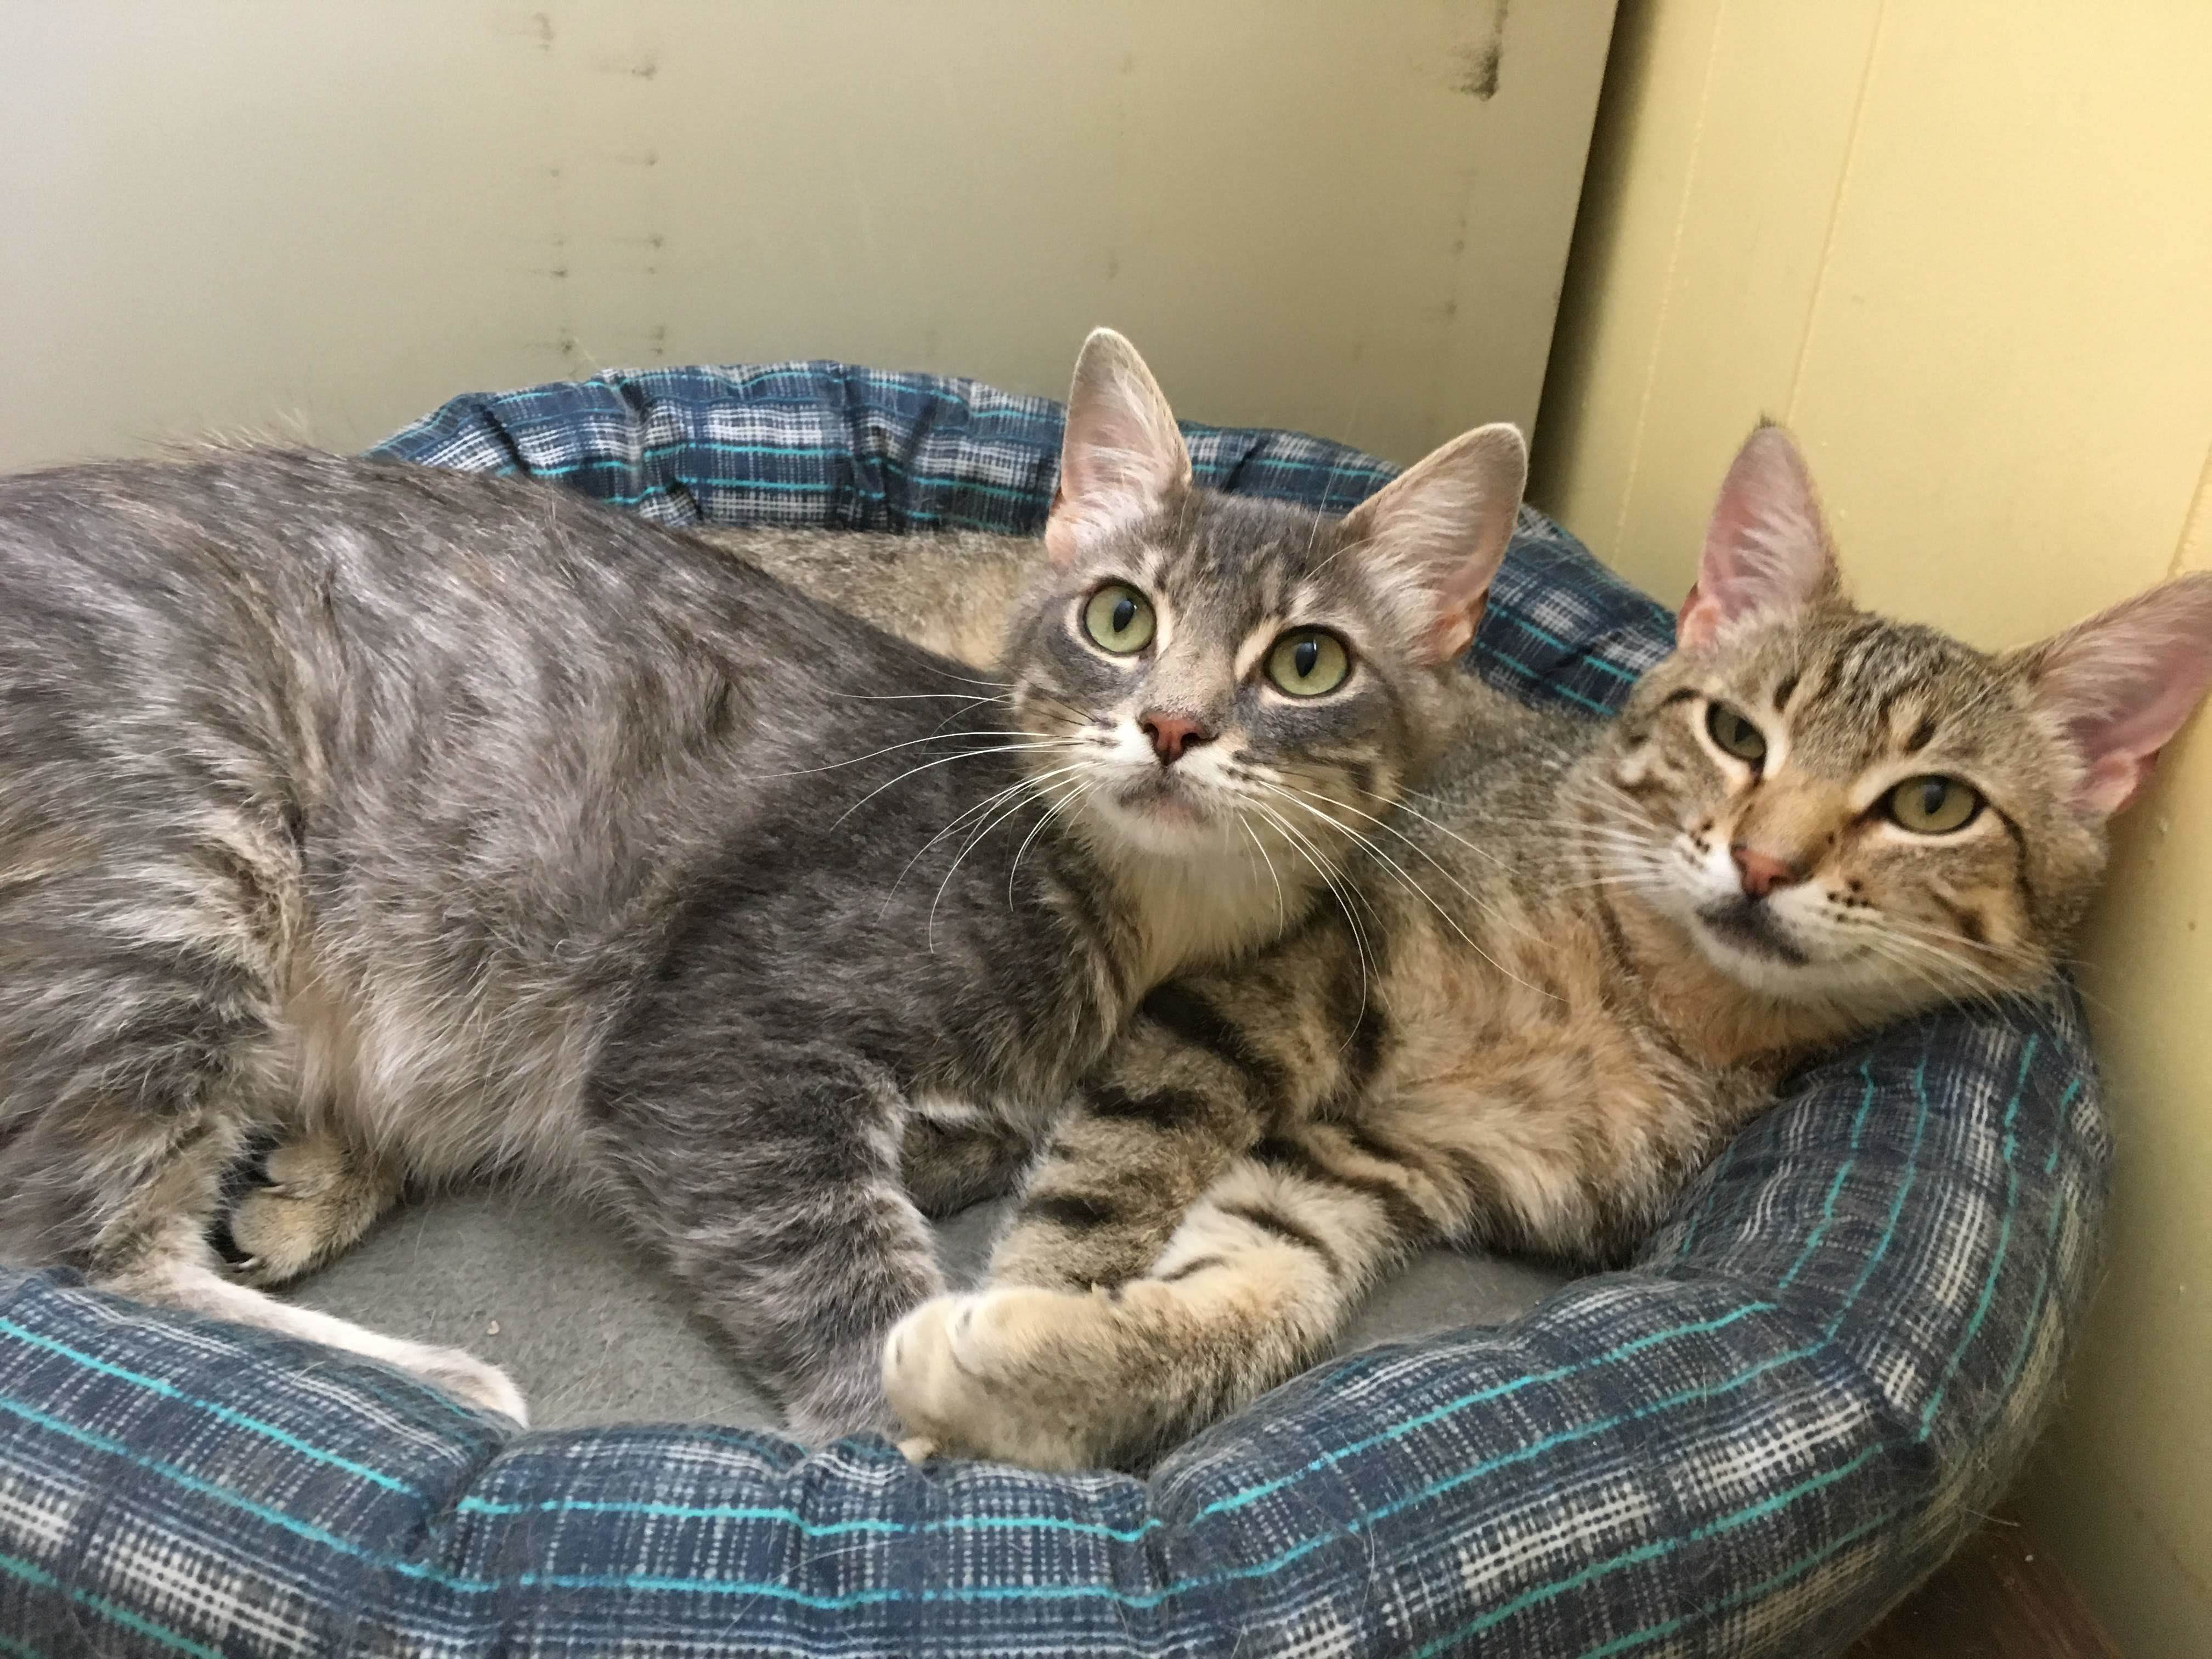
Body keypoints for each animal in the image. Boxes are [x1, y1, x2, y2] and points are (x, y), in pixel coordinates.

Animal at [0, 327, 1531, 1442]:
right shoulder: (725, 1032)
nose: (1171, 725)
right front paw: (928, 1404)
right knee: (88, 1255)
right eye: (1119, 618)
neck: (1154, 913)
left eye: (1309, 663)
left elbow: (965, 1146)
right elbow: (825, 1238)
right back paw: (432, 1377)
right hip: (179, 868)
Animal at [876, 425, 2212, 1469]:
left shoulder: (1375, 1162)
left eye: (1933, 805)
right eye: (1737, 733)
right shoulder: (1260, 990)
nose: (1765, 861)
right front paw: (1007, 1330)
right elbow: (1118, 1168)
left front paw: (1025, 1369)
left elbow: (1263, 1291)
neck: (1644, 996)